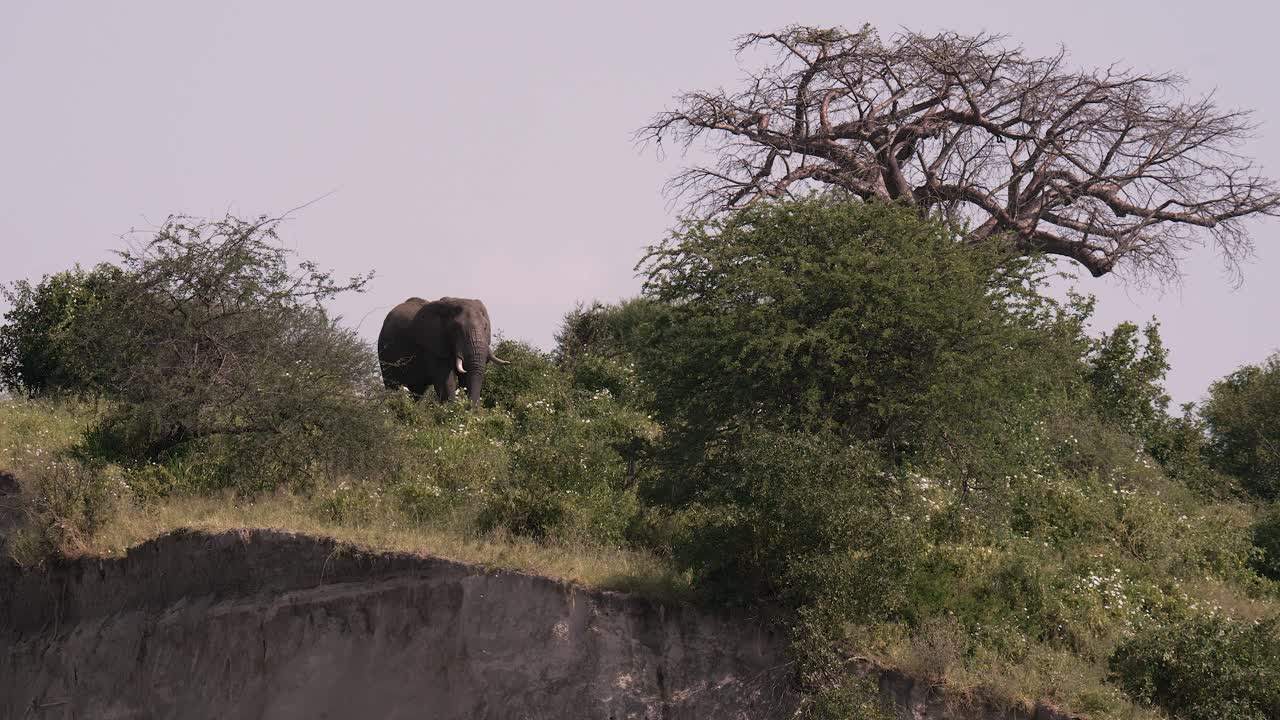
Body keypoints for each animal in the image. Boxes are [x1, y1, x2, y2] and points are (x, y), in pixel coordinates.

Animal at [377, 296, 508, 406]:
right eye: (456, 329)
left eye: (485, 327)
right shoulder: (433, 345)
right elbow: (445, 382)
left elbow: (466, 378)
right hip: (385, 352)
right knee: (392, 387)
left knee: (418, 391)